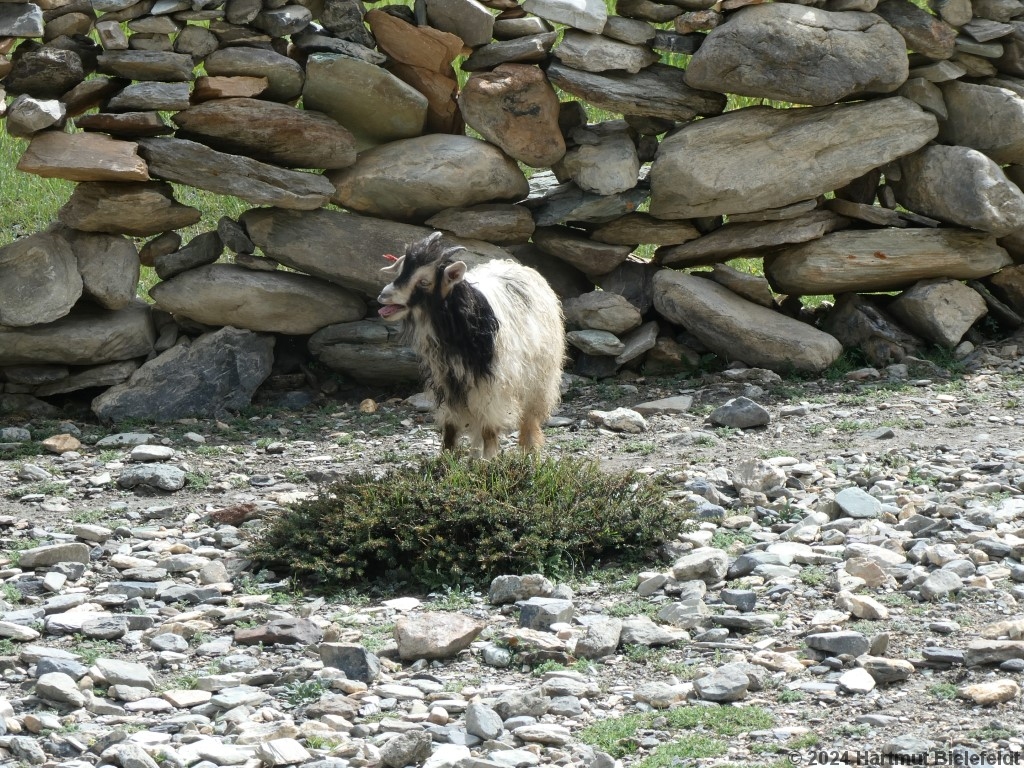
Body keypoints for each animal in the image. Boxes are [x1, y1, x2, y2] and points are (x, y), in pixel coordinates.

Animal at [377, 232, 565, 459]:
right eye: (401, 271)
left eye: (424, 281)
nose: (384, 296)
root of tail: (520, 267)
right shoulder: (446, 379)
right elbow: (451, 424)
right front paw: (446, 456)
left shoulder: (493, 381)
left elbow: (489, 426)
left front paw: (490, 458)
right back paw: (475, 454)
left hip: (540, 375)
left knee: (530, 415)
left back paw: (529, 448)